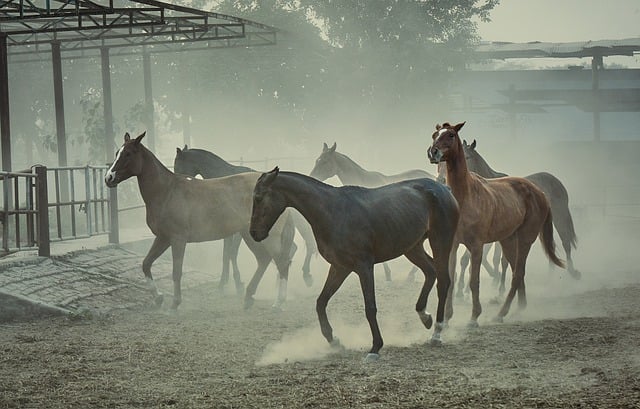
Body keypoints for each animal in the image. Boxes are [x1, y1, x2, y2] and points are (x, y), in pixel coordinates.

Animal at [104, 133, 296, 310]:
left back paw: (278, 302)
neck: (167, 191)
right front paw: (158, 298)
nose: (108, 178)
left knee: (281, 262)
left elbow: (177, 271)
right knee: (264, 260)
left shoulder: (178, 239)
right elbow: (146, 264)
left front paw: (175, 303)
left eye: (128, 153)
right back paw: (249, 297)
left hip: (267, 237)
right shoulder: (163, 238)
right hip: (249, 235)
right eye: (117, 152)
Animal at [175, 147, 318, 294]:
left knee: (306, 245)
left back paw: (303, 277)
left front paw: (237, 283)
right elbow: (226, 254)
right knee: (295, 248)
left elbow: (232, 253)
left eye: (178, 164)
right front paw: (224, 282)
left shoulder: (238, 230)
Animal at [249, 167, 460, 358]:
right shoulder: (340, 267)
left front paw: (375, 347)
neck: (332, 212)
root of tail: (444, 189)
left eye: (258, 197)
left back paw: (437, 333)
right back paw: (425, 316)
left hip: (440, 241)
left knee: (443, 281)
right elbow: (321, 302)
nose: (254, 233)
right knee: (430, 271)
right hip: (412, 247)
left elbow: (370, 307)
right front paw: (334, 341)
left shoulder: (364, 266)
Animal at [428, 121, 564, 326]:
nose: (433, 152)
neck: (466, 195)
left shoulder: (477, 246)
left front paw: (474, 317)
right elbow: (450, 278)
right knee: (516, 270)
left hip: (525, 239)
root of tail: (539, 192)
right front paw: (446, 317)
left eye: (451, 135)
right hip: (508, 240)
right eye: (435, 134)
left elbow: (474, 280)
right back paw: (519, 308)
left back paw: (502, 313)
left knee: (517, 274)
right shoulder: (453, 244)